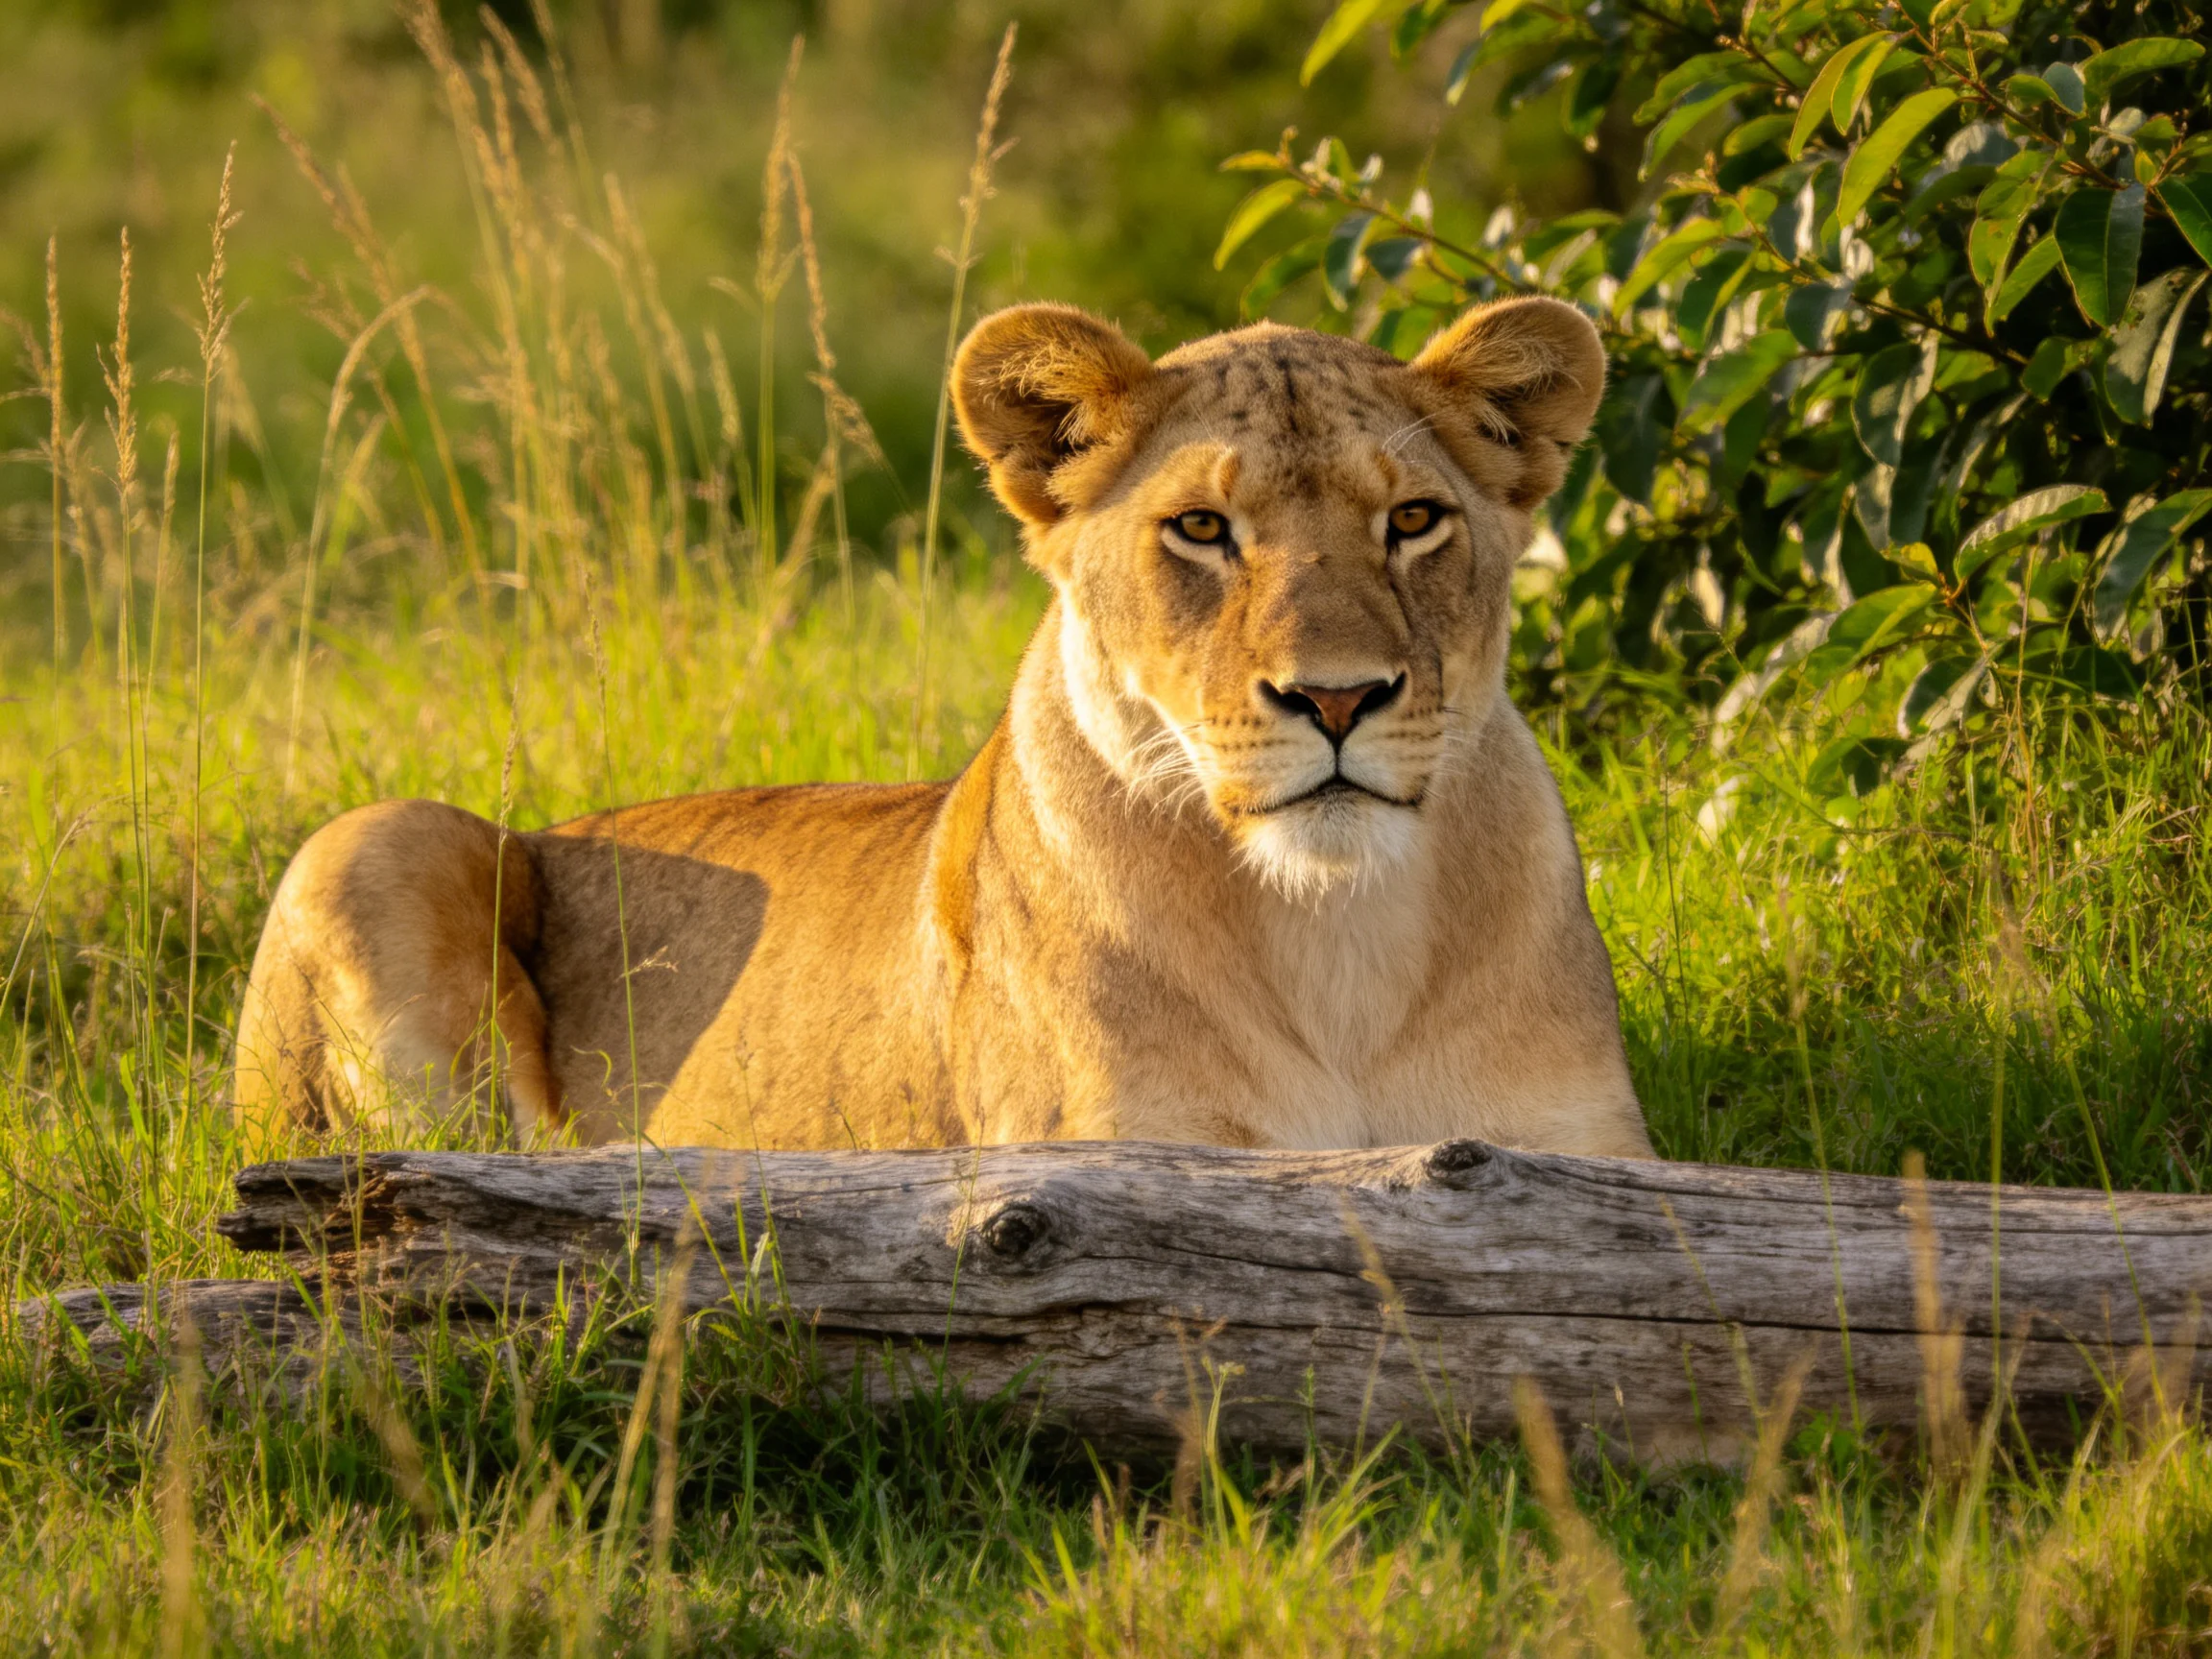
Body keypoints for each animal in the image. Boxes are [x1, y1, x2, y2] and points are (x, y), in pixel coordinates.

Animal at [233, 297, 1652, 1159]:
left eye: (1413, 520)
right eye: (1201, 528)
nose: (1341, 697)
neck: (1335, 930)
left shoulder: (1583, 1157)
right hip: (376, 839)